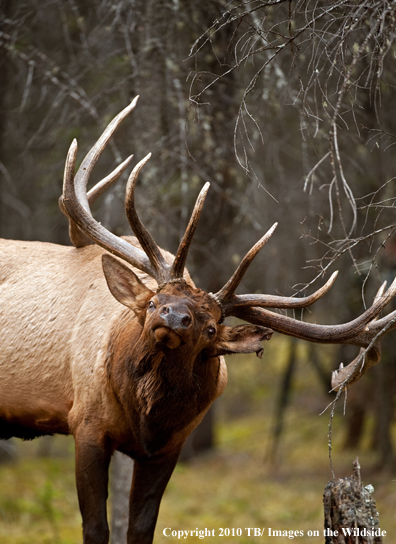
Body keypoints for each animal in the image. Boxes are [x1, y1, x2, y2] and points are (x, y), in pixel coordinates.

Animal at [0, 95, 396, 540]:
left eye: (211, 328)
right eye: (154, 302)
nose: (174, 317)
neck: (143, 419)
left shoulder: (169, 447)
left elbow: (141, 527)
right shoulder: (85, 423)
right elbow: (95, 527)